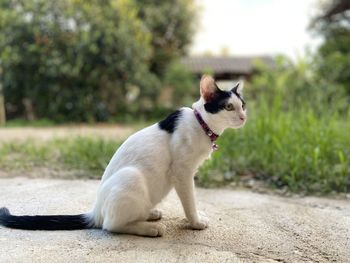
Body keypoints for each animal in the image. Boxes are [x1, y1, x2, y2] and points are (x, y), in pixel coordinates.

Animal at [0, 75, 246, 238]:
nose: (244, 117)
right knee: (111, 225)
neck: (200, 124)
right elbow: (189, 201)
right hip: (131, 176)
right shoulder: (182, 172)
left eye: (242, 105)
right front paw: (195, 221)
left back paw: (150, 214)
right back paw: (150, 228)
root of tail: (96, 210)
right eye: (228, 107)